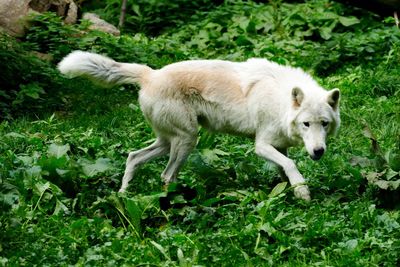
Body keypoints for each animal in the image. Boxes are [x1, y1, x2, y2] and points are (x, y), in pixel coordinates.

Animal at [58, 51, 340, 201]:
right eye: (306, 124)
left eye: (324, 124)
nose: (318, 152)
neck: (280, 101)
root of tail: (150, 74)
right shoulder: (261, 145)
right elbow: (291, 165)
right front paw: (303, 192)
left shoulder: (281, 146)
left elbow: (284, 169)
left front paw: (290, 193)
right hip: (187, 140)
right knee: (166, 175)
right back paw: (174, 204)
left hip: (168, 141)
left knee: (133, 157)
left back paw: (124, 194)